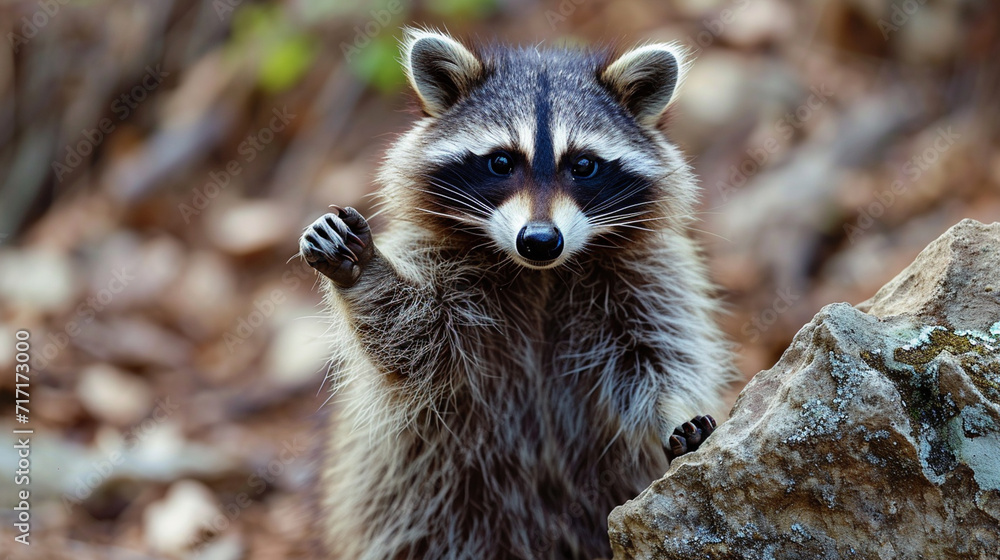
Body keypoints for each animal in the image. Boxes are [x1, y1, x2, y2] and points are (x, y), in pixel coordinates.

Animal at [299, 28, 735, 560]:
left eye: (583, 165)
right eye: (502, 162)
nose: (541, 240)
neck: (541, 275)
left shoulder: (649, 276)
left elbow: (659, 356)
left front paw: (675, 412)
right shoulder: (440, 260)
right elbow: (416, 341)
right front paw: (364, 271)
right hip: (426, 504)